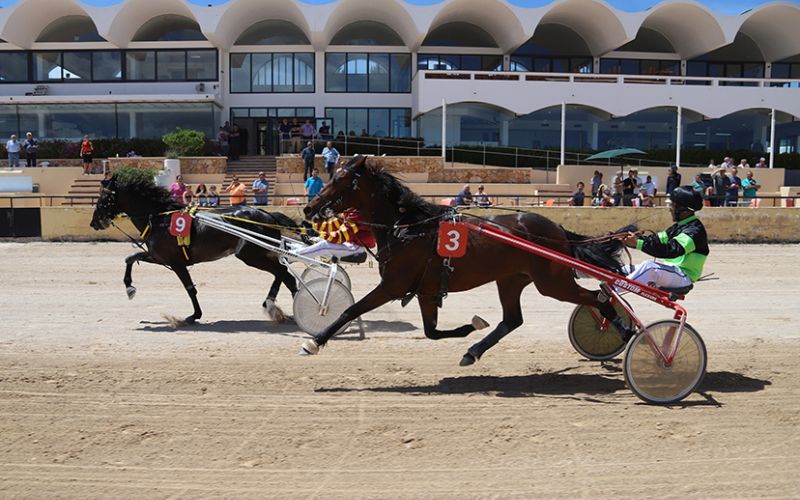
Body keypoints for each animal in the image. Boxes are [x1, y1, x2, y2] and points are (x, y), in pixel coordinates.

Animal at [88, 168, 300, 324]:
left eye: (103, 198)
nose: (94, 222)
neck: (160, 218)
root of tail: (268, 215)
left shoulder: (175, 262)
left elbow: (189, 288)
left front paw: (194, 315)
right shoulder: (159, 257)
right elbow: (130, 258)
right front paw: (129, 287)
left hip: (250, 254)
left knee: (281, 271)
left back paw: (271, 305)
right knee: (287, 277)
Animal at [296, 154, 636, 366]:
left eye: (341, 179)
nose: (309, 208)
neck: (407, 227)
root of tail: (556, 229)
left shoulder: (394, 285)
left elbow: (351, 310)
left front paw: (314, 341)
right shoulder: (425, 291)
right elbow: (431, 332)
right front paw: (471, 327)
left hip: (552, 283)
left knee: (596, 297)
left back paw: (621, 327)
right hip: (511, 280)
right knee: (513, 320)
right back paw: (473, 351)